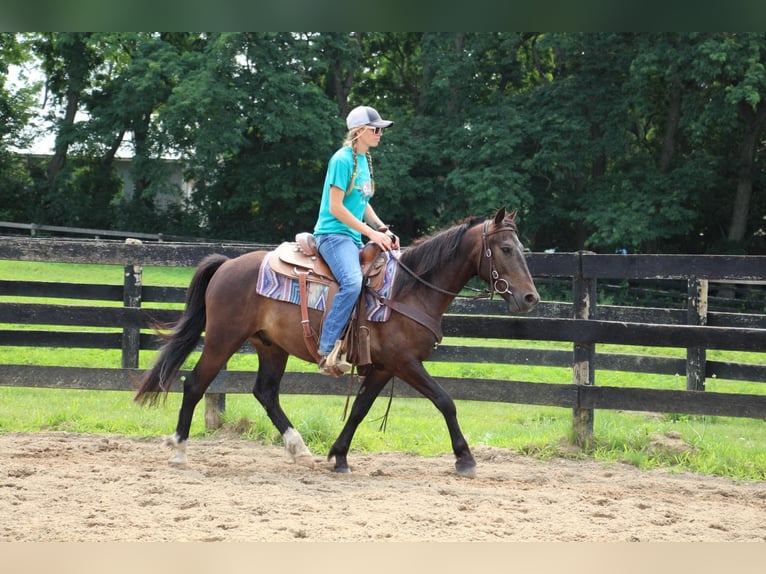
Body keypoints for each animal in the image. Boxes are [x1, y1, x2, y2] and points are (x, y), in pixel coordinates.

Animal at [134, 207, 540, 476]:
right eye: (505, 249)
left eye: (521, 248)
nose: (530, 298)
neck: (409, 289)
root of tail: (228, 264)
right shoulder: (405, 362)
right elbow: (445, 401)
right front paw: (465, 459)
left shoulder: (383, 367)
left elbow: (359, 410)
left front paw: (339, 456)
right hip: (223, 338)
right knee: (195, 383)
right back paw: (179, 450)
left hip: (270, 346)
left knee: (265, 392)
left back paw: (299, 450)